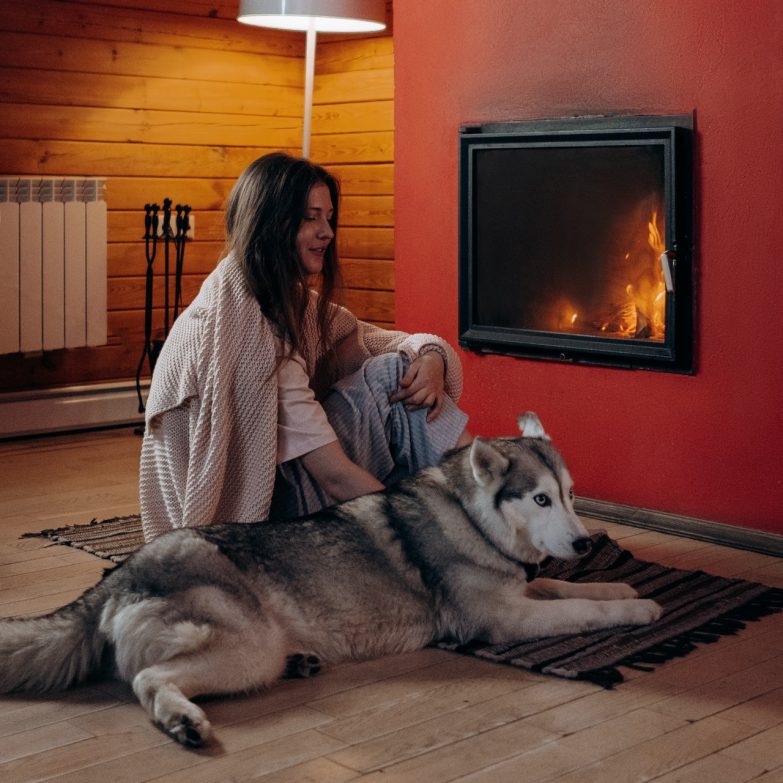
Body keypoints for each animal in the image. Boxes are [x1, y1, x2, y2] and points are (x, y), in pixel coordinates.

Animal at [0, 414, 660, 744]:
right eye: (540, 499)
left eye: (571, 495)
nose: (584, 542)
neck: (471, 517)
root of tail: (115, 578)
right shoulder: (505, 618)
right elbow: (581, 611)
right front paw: (641, 610)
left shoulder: (521, 590)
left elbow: (572, 589)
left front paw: (622, 586)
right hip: (247, 646)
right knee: (148, 678)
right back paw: (182, 721)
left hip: (249, 652)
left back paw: (298, 663)